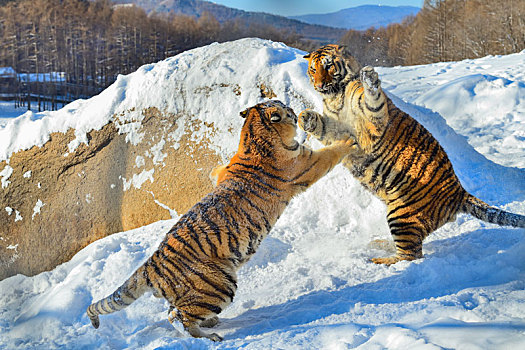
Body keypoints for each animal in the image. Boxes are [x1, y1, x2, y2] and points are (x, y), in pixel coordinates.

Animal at [86, 100, 356, 340]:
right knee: (179, 317)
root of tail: (151, 264)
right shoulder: (306, 163)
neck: (253, 137)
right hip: (218, 284)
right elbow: (330, 154)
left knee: (176, 311)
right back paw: (210, 336)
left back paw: (210, 323)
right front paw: (349, 141)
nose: (292, 108)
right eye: (283, 108)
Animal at [298, 45, 524, 266]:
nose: (319, 85)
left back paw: (380, 259)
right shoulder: (335, 131)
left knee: (411, 255)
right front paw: (304, 117)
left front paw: (369, 77)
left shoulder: (375, 118)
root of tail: (459, 192)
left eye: (328, 66)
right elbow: (323, 127)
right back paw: (380, 244)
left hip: (401, 214)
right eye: (313, 70)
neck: (335, 98)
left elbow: (373, 99)